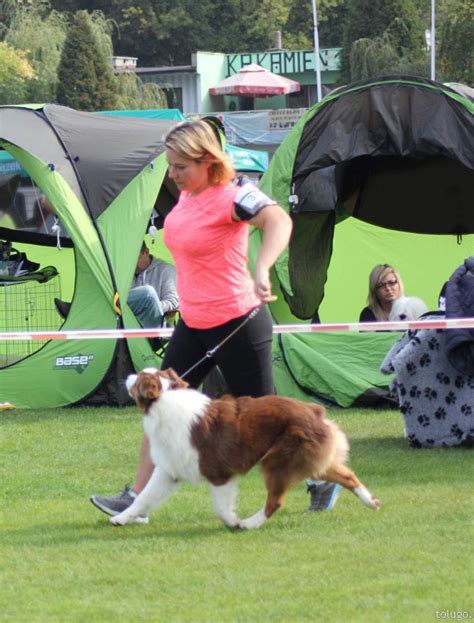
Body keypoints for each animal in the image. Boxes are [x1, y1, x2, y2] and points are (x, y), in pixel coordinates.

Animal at [110, 370, 378, 532]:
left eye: (138, 379)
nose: (127, 375)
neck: (165, 401)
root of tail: (314, 410)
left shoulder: (219, 473)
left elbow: (220, 508)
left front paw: (233, 522)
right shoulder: (169, 471)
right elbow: (144, 497)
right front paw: (121, 518)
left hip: (278, 461)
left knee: (276, 500)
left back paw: (250, 523)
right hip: (309, 459)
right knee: (348, 476)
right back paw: (371, 502)